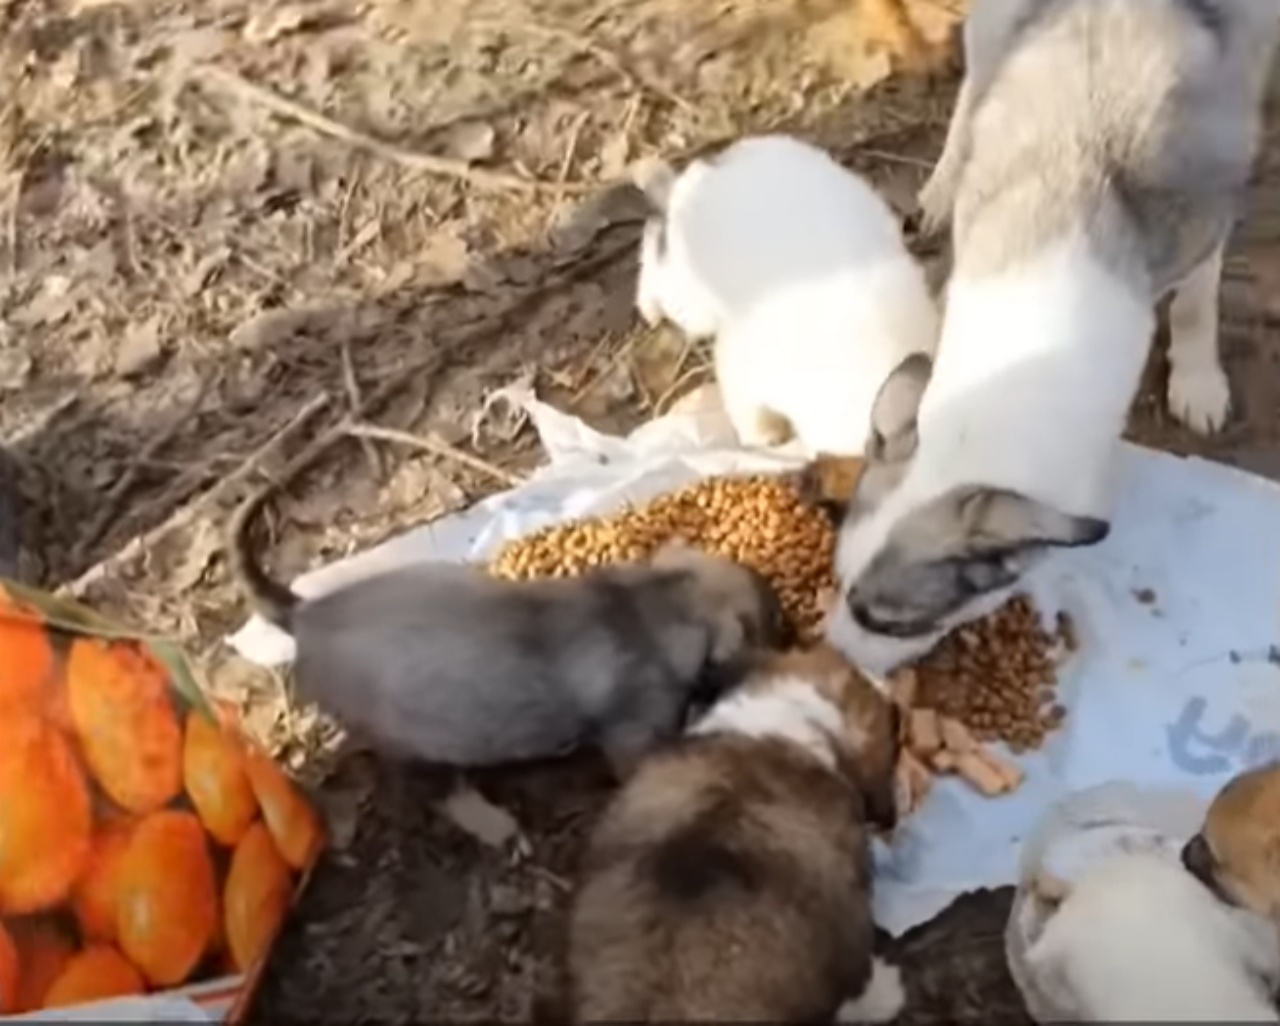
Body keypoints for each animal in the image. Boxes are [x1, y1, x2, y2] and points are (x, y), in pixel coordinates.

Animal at [632, 133, 942, 452]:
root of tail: (711, 168)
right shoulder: (742, 362)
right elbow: (748, 411)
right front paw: (764, 438)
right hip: (692, 303)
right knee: (654, 244)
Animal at [819, 0, 1280, 670]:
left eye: (891, 622)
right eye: (838, 580)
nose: (829, 664)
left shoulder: (1204, 226)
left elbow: (1197, 302)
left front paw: (1198, 381)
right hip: (996, 25)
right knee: (973, 85)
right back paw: (941, 186)